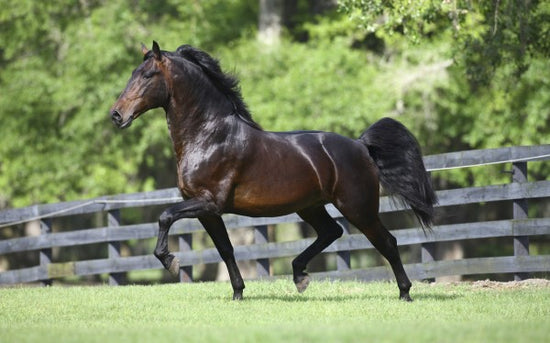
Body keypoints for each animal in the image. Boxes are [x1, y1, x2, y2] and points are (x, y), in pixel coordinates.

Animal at [111, 41, 440, 302]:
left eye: (147, 75)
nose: (116, 115)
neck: (208, 136)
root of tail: (361, 146)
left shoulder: (208, 202)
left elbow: (165, 216)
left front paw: (170, 261)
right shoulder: (207, 211)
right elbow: (226, 249)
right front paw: (238, 293)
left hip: (358, 208)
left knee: (387, 242)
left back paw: (405, 293)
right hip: (311, 207)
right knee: (331, 232)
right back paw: (299, 276)